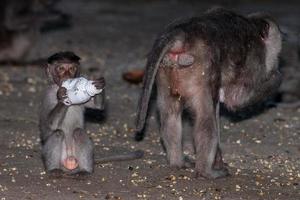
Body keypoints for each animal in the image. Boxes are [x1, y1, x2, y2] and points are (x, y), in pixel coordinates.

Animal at [135, 8, 282, 180]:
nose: (277, 61)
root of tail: (183, 34)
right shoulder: (255, 60)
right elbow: (236, 100)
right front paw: (277, 77)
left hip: (166, 71)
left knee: (170, 116)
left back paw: (177, 162)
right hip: (200, 69)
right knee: (206, 121)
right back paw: (205, 172)